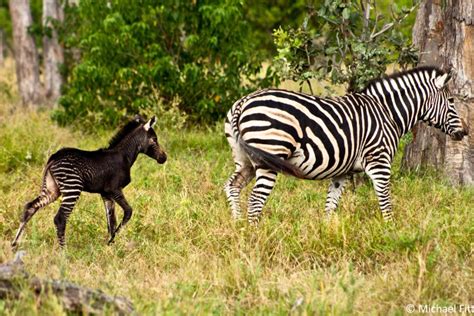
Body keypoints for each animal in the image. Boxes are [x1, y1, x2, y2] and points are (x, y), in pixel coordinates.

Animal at [11, 115, 167, 248]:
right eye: (154, 139)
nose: (164, 158)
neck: (123, 156)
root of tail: (53, 158)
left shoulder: (106, 194)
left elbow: (111, 220)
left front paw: (110, 245)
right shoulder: (114, 189)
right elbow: (128, 212)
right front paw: (112, 241)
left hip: (52, 189)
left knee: (30, 207)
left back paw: (15, 244)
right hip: (72, 188)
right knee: (60, 219)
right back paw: (64, 252)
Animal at [224, 67, 468, 222]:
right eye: (452, 101)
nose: (465, 132)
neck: (388, 113)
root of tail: (244, 102)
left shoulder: (341, 172)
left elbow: (331, 205)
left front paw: (326, 234)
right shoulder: (379, 162)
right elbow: (385, 199)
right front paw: (391, 230)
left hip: (245, 160)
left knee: (232, 186)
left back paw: (238, 226)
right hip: (269, 154)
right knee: (255, 200)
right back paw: (255, 234)